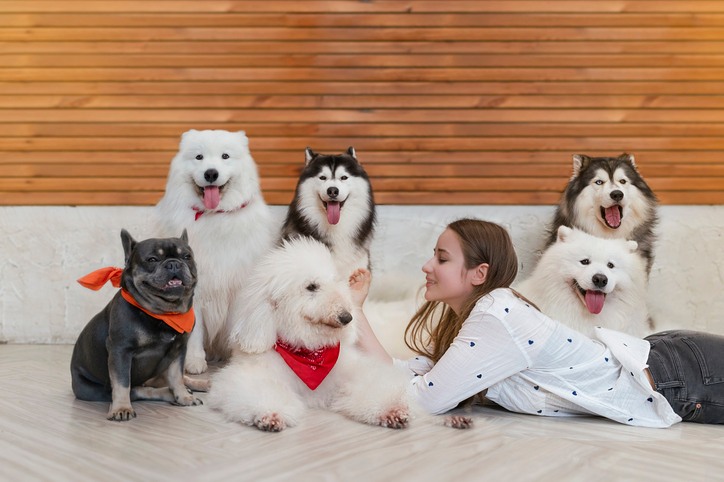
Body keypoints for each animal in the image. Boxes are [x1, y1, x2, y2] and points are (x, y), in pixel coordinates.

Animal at [154, 130, 276, 374]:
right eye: (199, 157)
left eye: (225, 156)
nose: (211, 173)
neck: (215, 215)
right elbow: (194, 331)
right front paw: (193, 362)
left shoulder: (239, 286)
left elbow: (238, 326)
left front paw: (238, 360)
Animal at [209, 239, 412, 432]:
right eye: (312, 286)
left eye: (334, 282)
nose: (347, 317)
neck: (309, 351)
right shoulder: (250, 376)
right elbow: (262, 390)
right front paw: (270, 415)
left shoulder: (358, 371)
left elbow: (373, 385)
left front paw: (391, 411)